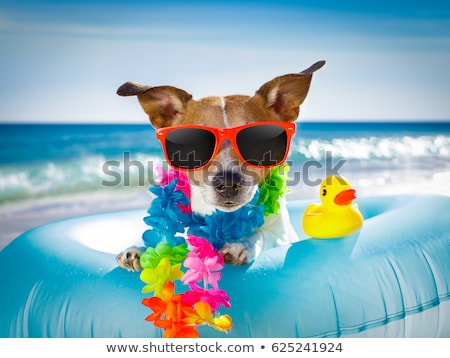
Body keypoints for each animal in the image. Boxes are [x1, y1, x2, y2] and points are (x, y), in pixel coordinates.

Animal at [115, 60, 326, 272]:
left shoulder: (281, 235)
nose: (228, 183)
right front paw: (145, 251)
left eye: (258, 140)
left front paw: (242, 243)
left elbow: (262, 234)